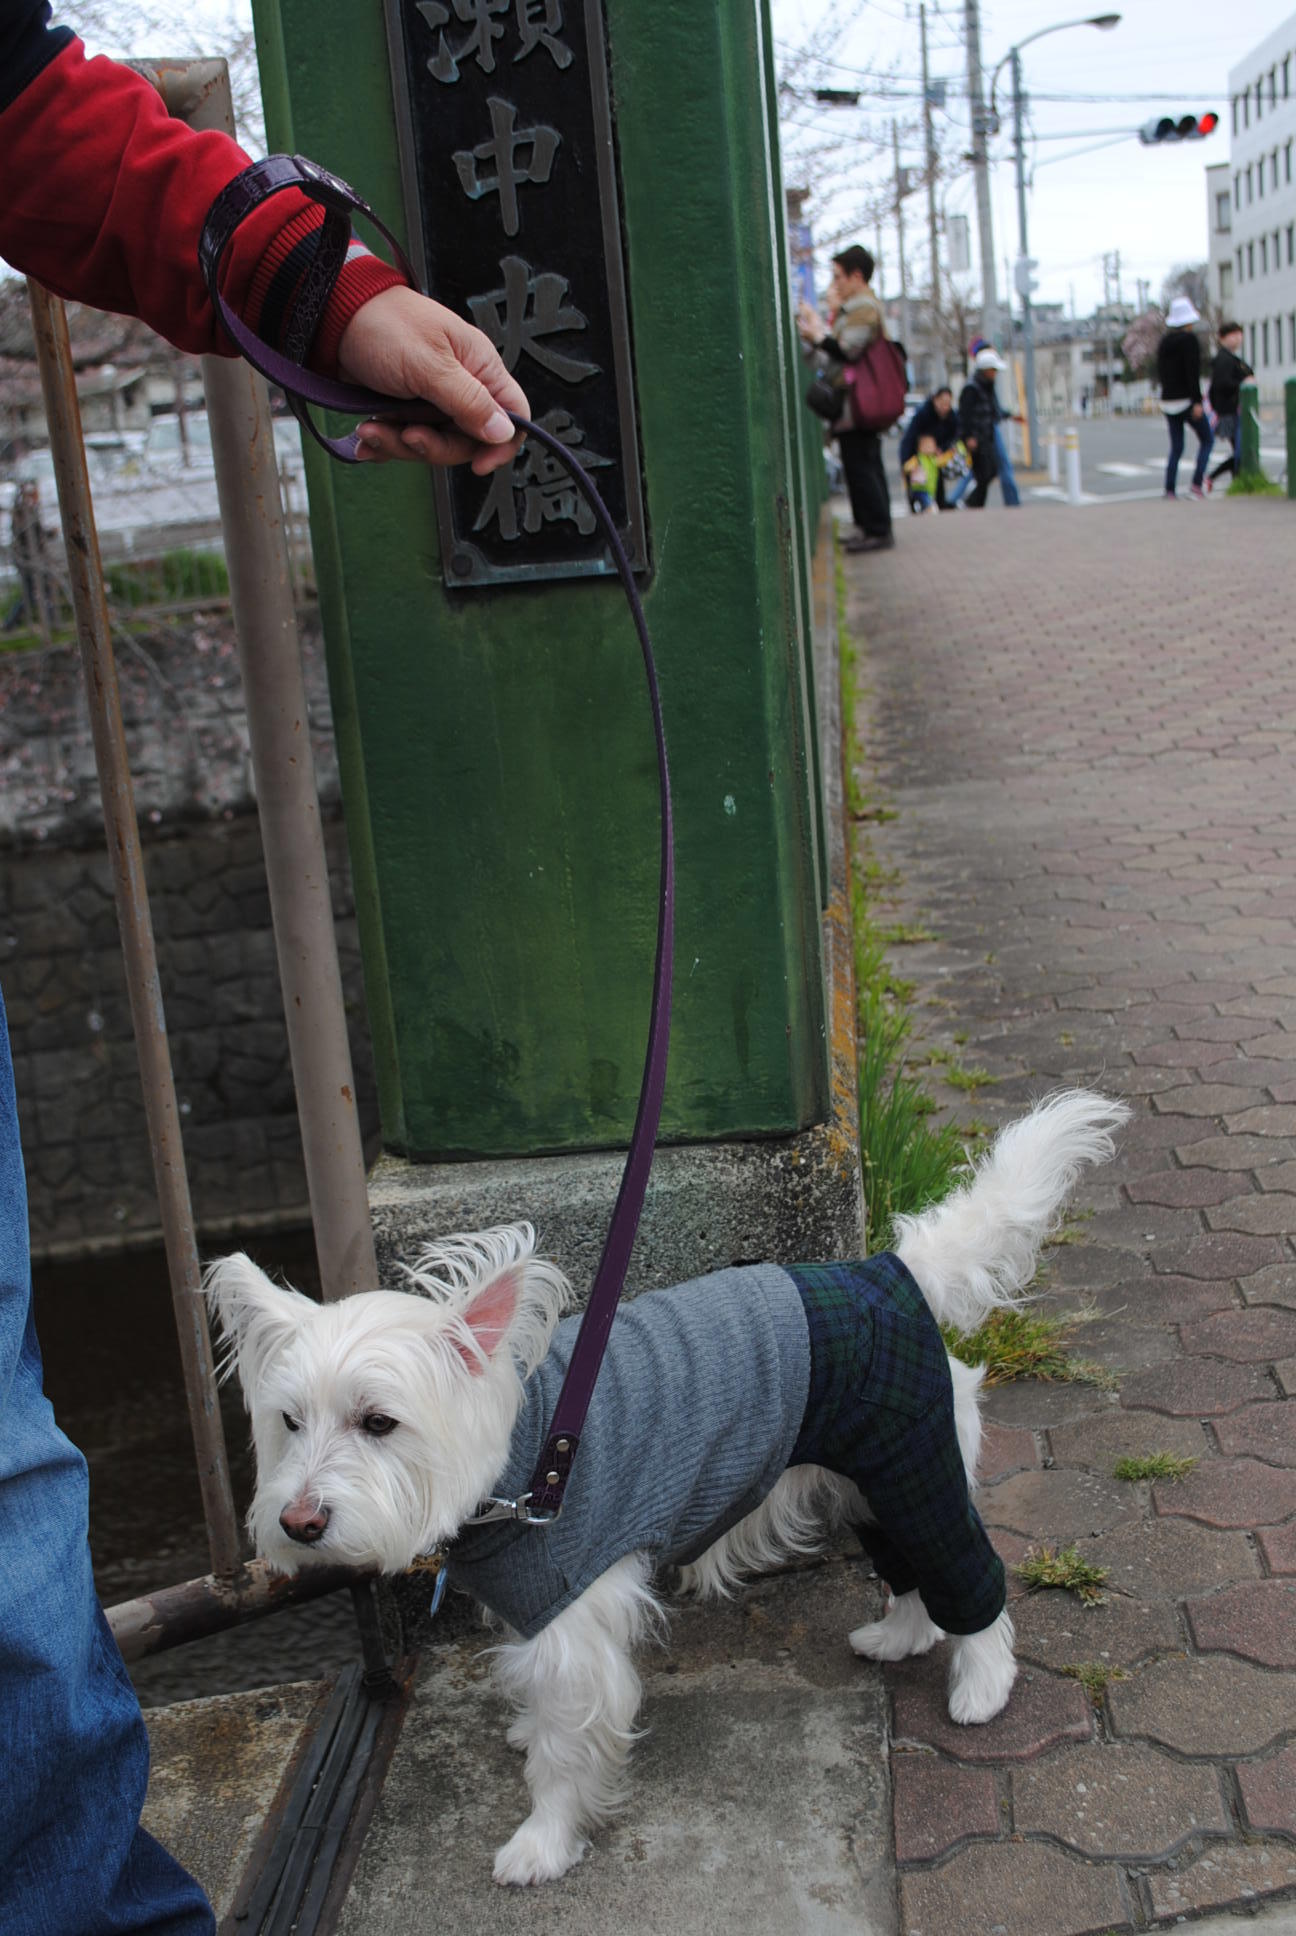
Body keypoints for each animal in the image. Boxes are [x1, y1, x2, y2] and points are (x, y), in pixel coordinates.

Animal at [207, 1099, 1123, 1881]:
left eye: (379, 1423)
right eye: (289, 1421)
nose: (300, 1522)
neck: (525, 1456)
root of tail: (889, 1269)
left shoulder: (573, 1623)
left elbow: (567, 1748)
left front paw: (542, 1843)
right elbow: (540, 1713)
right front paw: (525, 1738)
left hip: (916, 1470)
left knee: (971, 1579)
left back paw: (983, 1686)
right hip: (873, 1484)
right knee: (910, 1578)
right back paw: (898, 1637)